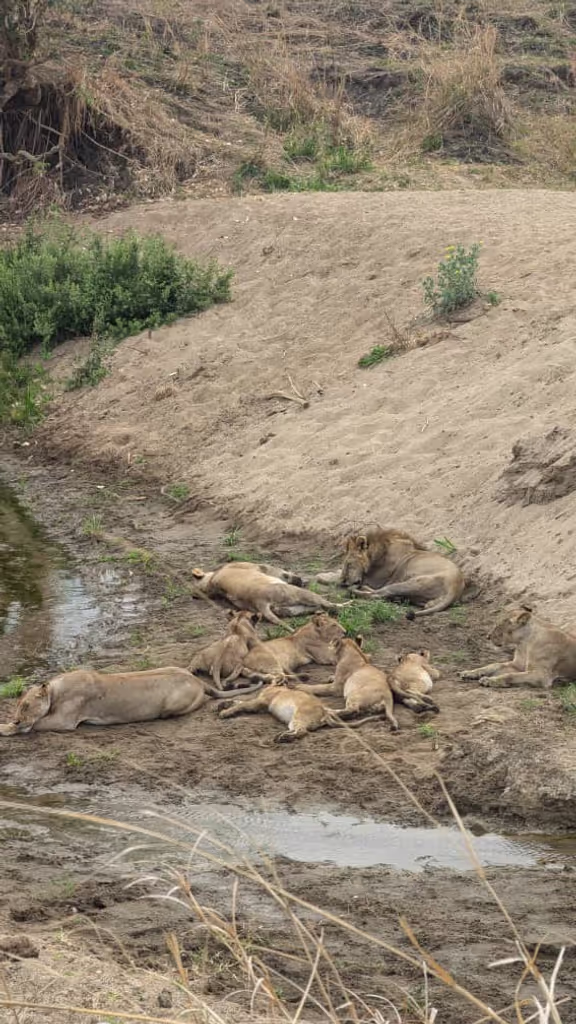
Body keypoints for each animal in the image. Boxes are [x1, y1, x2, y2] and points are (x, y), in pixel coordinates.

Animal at [0, 667, 262, 735]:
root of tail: (198, 681)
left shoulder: (66, 721)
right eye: (18, 705)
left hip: (170, 706)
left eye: (25, 705)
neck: (55, 690)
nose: (17, 718)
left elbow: (34, 724)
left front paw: (8, 727)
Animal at [192, 561, 343, 625]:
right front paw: (297, 578)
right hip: (298, 593)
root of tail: (260, 602)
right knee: (329, 605)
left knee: (319, 607)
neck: (211, 579)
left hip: (289, 608)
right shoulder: (262, 568)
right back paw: (344, 605)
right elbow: (284, 573)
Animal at [217, 684, 381, 743]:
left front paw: (225, 712)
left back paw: (282, 738)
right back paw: (281, 736)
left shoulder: (260, 702)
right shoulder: (258, 704)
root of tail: (324, 713)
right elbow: (238, 701)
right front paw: (223, 704)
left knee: (302, 732)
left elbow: (241, 704)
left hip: (298, 717)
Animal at [334, 527, 464, 616]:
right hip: (423, 599)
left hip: (409, 583)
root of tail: (455, 587)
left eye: (349, 564)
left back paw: (355, 590)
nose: (342, 582)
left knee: (378, 594)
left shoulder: (377, 580)